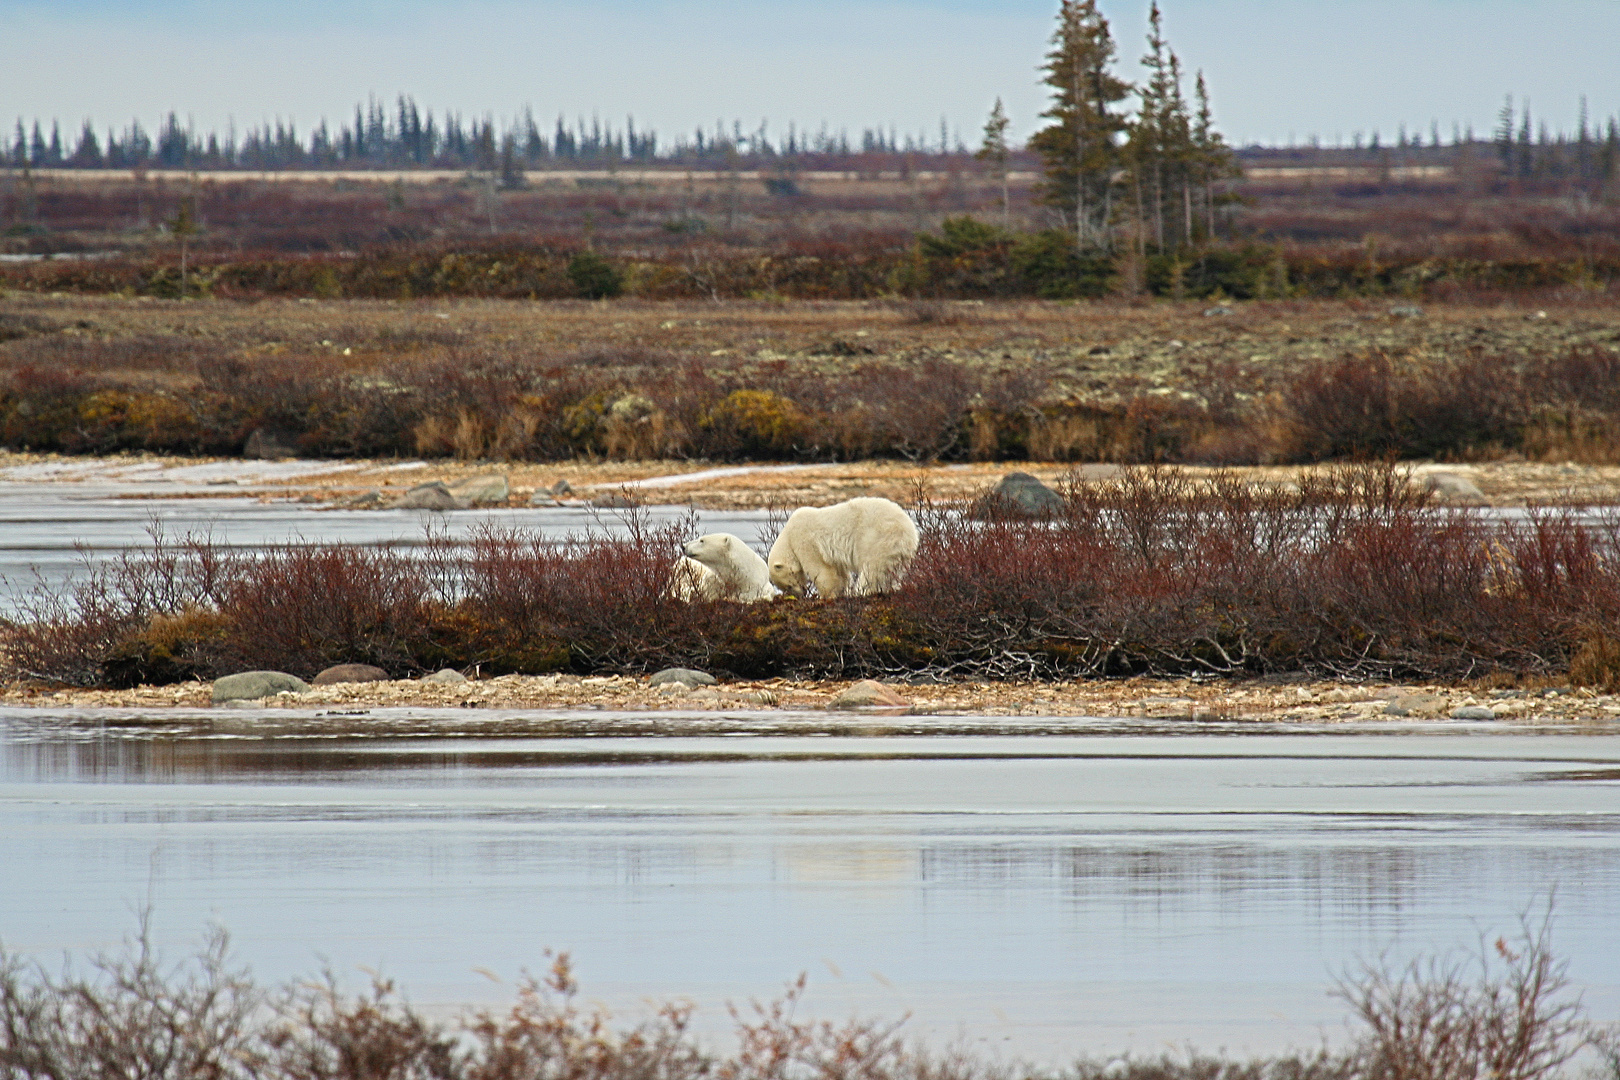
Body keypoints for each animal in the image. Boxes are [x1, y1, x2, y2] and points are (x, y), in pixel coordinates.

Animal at [764, 498, 920, 599]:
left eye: (788, 586)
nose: (801, 594)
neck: (788, 535)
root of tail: (909, 531)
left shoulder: (806, 540)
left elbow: (820, 569)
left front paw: (826, 595)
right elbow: (839, 572)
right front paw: (841, 590)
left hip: (877, 537)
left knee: (873, 568)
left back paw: (862, 592)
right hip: (898, 550)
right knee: (892, 570)